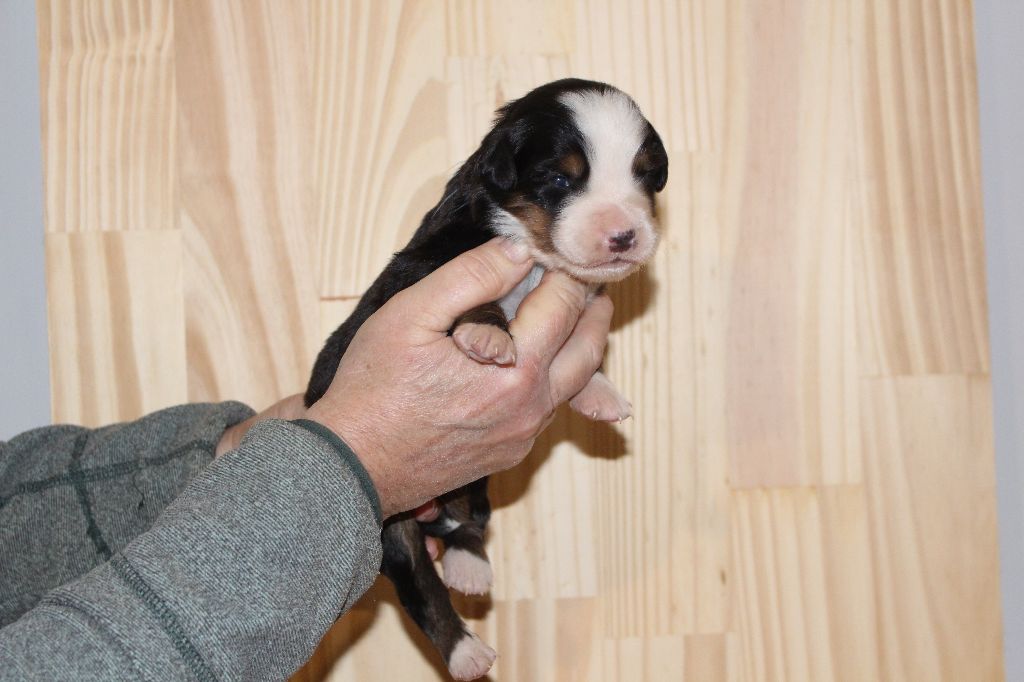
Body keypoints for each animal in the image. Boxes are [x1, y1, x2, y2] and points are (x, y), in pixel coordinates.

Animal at [303, 78, 671, 675]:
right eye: (560, 179)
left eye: (643, 175)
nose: (624, 235)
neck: (535, 254)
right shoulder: (430, 268)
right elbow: (477, 302)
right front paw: (488, 335)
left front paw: (600, 393)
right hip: (391, 532)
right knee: (421, 589)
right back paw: (466, 652)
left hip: (473, 486)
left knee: (467, 524)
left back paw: (469, 568)